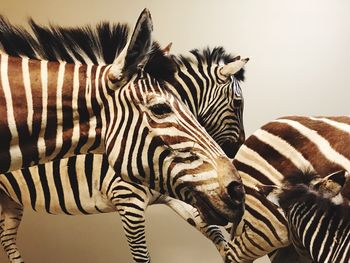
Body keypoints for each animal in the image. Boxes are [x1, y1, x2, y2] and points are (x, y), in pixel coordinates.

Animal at [0, 10, 246, 263]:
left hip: (9, 198)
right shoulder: (128, 200)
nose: (238, 190)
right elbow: (143, 257)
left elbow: (220, 240)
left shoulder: (179, 196)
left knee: (6, 238)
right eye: (238, 103)